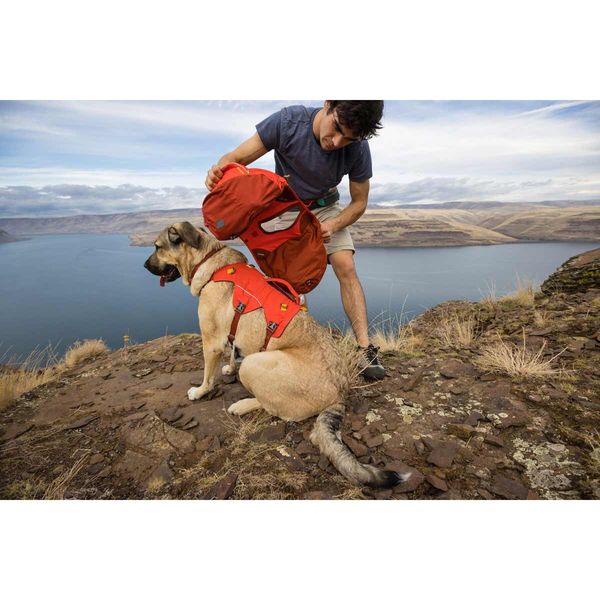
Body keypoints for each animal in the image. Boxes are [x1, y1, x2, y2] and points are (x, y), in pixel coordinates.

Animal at [143, 223, 410, 490]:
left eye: (157, 247)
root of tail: (339, 393)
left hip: (254, 364)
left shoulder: (211, 342)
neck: (208, 259)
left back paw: (241, 405)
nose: (145, 266)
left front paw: (200, 391)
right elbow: (232, 347)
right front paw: (228, 367)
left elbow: (208, 375)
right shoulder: (230, 334)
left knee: (273, 408)